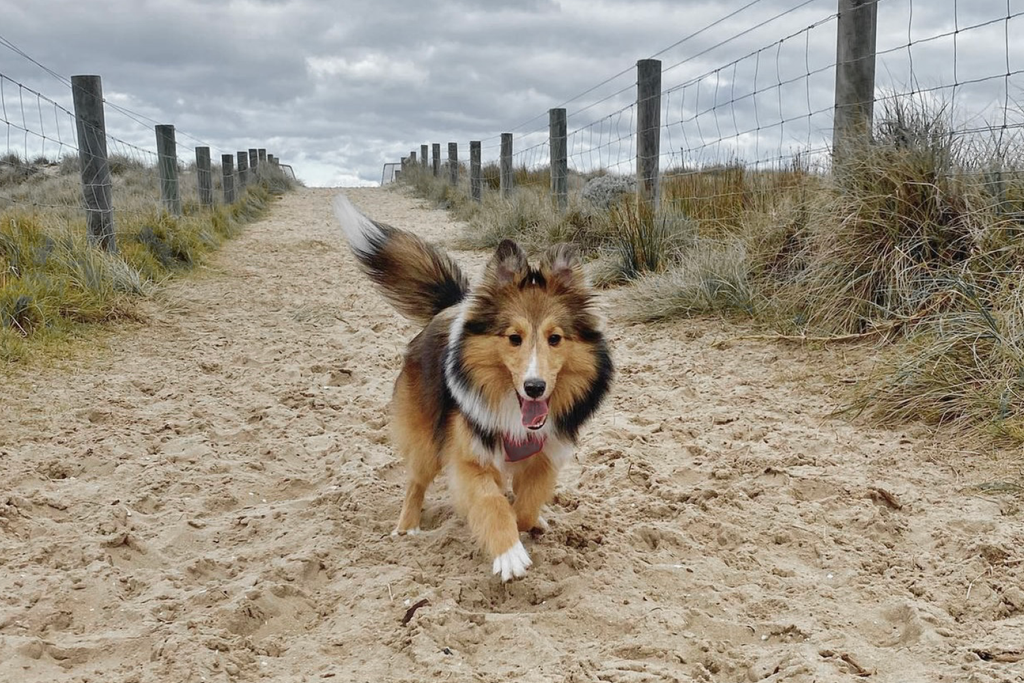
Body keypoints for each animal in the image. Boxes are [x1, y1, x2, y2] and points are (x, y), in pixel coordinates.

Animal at [335, 193, 610, 581]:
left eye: (555, 338)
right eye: (513, 338)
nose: (535, 387)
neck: (514, 411)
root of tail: (453, 306)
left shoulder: (545, 456)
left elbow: (525, 507)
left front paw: (528, 522)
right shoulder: (467, 456)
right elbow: (491, 502)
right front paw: (508, 552)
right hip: (426, 436)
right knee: (416, 480)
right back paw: (407, 525)